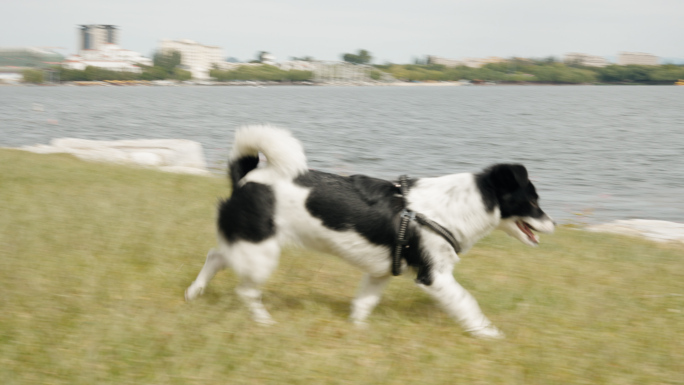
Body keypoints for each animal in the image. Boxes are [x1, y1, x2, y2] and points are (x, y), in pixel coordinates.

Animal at [187, 125, 556, 336]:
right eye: (533, 201)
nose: (554, 224)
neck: (455, 205)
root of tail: (246, 178)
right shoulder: (434, 276)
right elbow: (468, 304)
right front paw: (488, 333)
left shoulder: (380, 272)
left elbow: (363, 304)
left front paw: (358, 331)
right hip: (261, 252)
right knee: (245, 290)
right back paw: (263, 321)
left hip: (250, 244)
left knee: (216, 255)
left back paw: (194, 292)